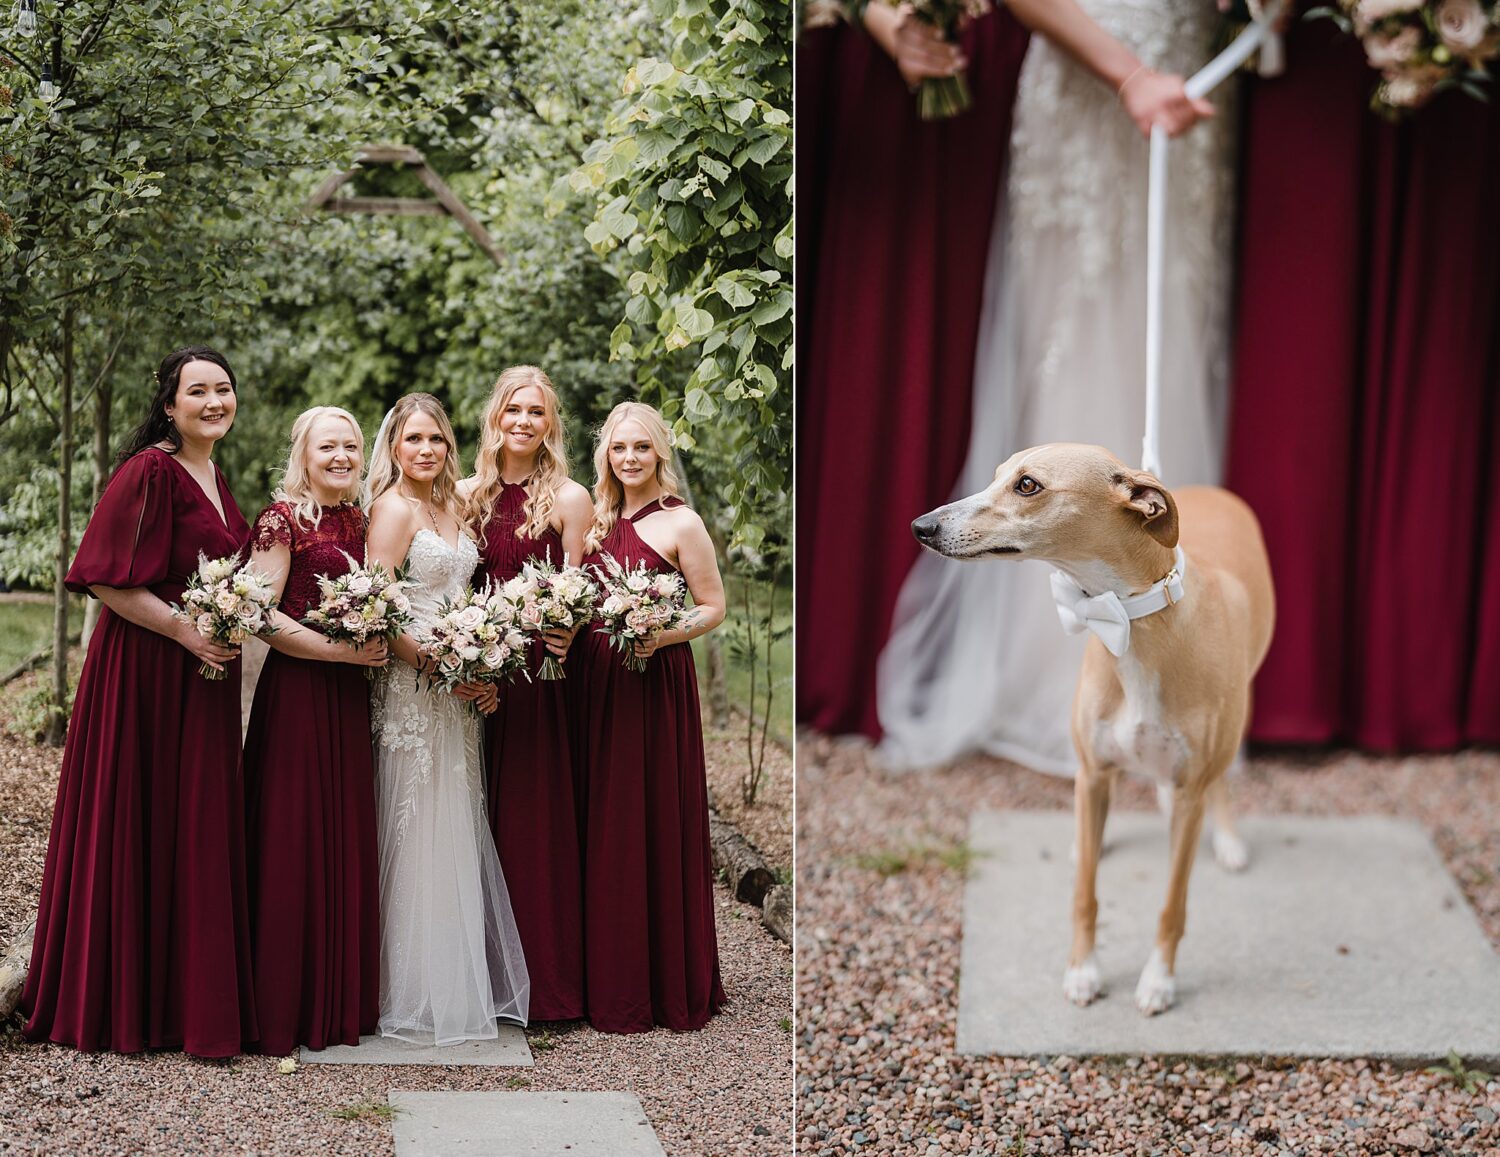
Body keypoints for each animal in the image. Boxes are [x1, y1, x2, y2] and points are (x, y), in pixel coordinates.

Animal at [906, 444, 1272, 1014]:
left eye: (1027, 485)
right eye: (996, 475)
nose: (922, 526)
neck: (1130, 622)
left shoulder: (1190, 791)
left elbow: (1173, 903)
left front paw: (1158, 980)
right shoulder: (1093, 769)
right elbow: (1084, 894)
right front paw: (1082, 971)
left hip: (1238, 714)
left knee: (1221, 779)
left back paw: (1228, 839)